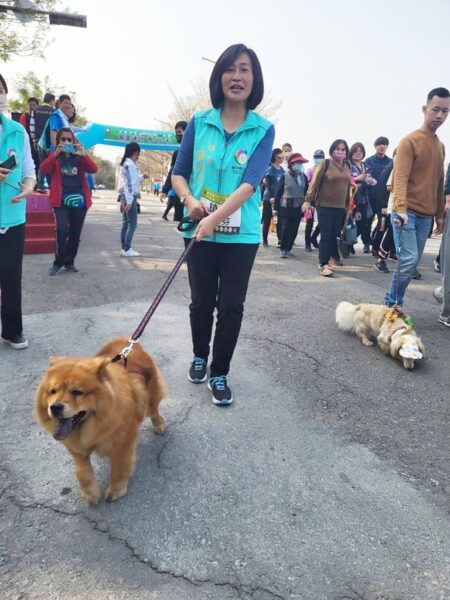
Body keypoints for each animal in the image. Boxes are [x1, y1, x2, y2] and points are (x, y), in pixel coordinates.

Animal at [34, 338, 165, 502]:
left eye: (77, 392)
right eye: (53, 391)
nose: (55, 407)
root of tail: (125, 341)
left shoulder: (121, 446)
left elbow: (118, 469)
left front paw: (116, 491)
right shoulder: (78, 450)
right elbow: (83, 472)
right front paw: (91, 494)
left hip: (151, 397)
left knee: (154, 410)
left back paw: (159, 425)